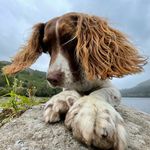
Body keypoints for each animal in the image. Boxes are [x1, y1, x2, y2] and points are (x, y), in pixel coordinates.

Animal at [3, 12, 146, 149]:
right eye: (46, 47)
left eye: (70, 39)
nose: (52, 79)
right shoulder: (67, 84)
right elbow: (68, 90)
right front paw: (60, 99)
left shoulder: (111, 88)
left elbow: (100, 93)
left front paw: (94, 110)